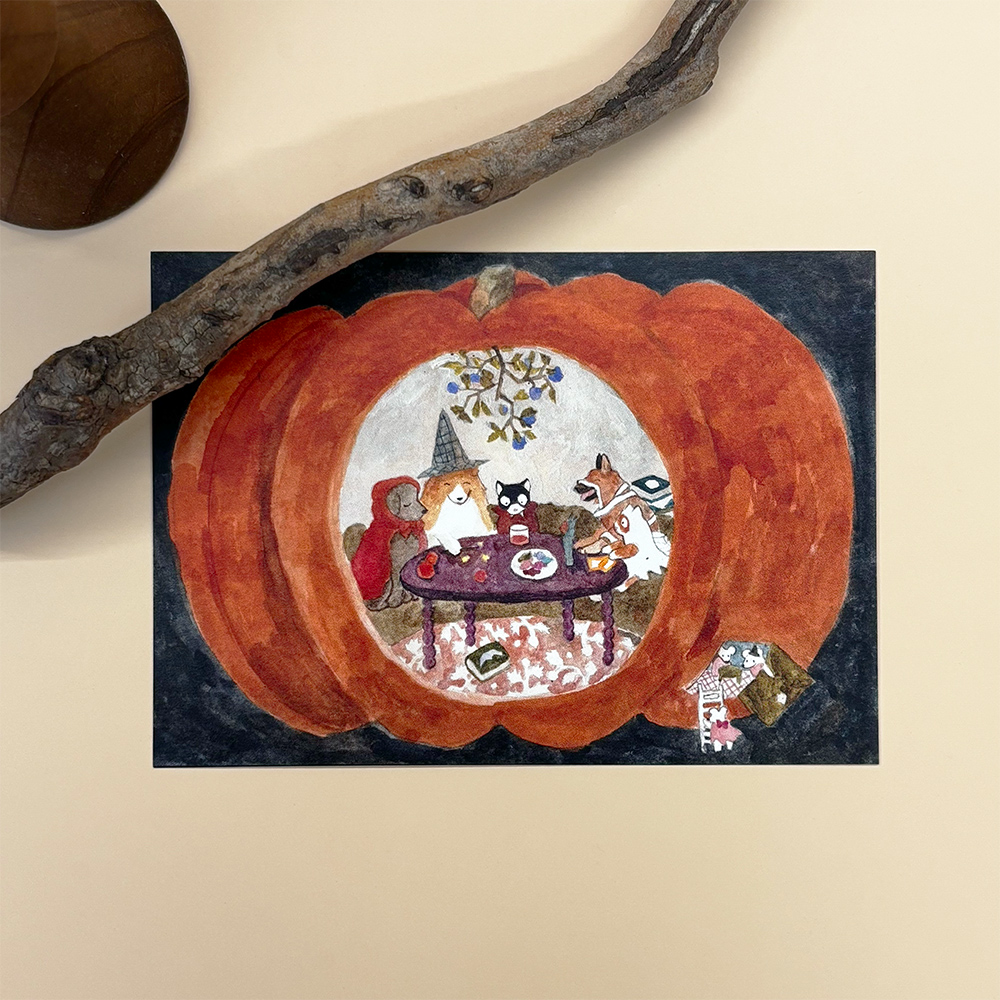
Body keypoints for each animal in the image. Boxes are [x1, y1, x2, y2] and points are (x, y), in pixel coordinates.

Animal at [573, 453, 670, 589]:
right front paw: (583, 545)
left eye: (589, 478)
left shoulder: (614, 529)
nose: (575, 487)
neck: (613, 497)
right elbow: (596, 536)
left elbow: (603, 538)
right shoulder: (606, 527)